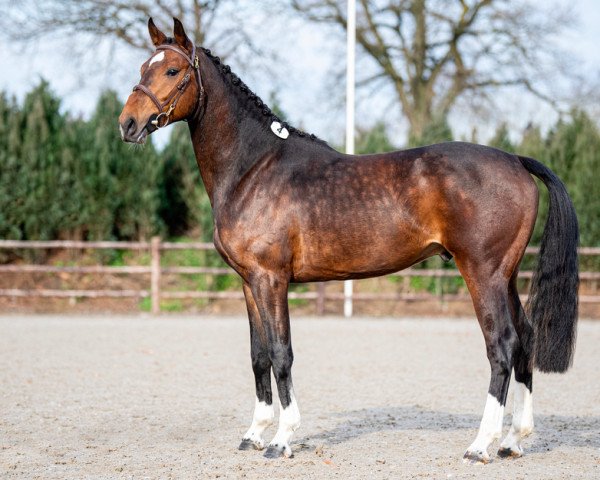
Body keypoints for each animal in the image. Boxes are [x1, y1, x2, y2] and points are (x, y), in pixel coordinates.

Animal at [118, 16, 576, 464]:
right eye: (141, 68)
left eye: (172, 70)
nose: (128, 124)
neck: (253, 168)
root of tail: (515, 160)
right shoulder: (249, 282)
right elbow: (258, 355)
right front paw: (254, 434)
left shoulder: (271, 279)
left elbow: (281, 353)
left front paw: (282, 439)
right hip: (506, 275)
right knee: (526, 339)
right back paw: (513, 441)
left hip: (482, 272)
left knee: (502, 345)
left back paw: (481, 445)